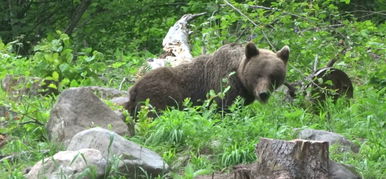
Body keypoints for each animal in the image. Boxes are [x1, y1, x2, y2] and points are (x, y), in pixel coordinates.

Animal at [126, 42, 290, 117]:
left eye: (273, 76)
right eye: (258, 75)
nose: (263, 93)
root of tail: (134, 87)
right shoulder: (223, 85)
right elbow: (224, 108)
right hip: (160, 93)